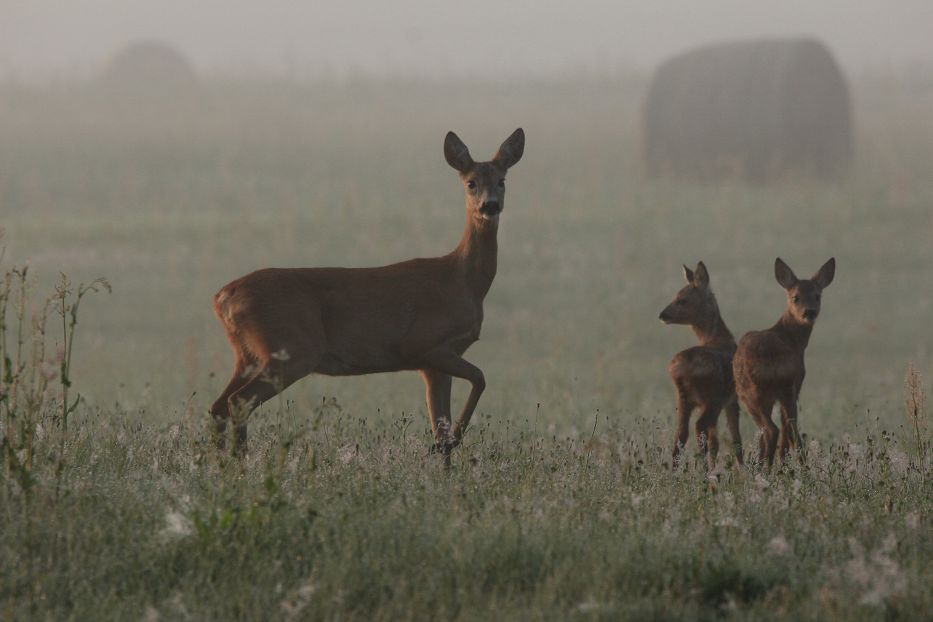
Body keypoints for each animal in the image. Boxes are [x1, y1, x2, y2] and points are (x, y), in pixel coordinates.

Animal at [209, 129, 524, 456]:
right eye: (471, 182)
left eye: (502, 180)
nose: (490, 205)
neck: (463, 281)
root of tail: (222, 297)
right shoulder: (425, 344)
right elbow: (480, 379)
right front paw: (457, 438)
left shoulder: (433, 364)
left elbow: (441, 428)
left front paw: (446, 449)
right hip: (292, 351)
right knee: (237, 402)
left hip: (247, 355)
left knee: (218, 407)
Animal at [664, 260, 744, 470]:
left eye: (681, 299)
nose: (662, 314)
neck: (719, 338)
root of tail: (681, 369)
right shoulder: (731, 399)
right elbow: (736, 439)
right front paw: (744, 471)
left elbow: (715, 442)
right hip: (712, 398)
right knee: (699, 427)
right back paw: (703, 470)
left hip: (684, 399)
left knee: (681, 434)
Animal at [732, 256, 832, 466]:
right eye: (795, 297)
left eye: (817, 296)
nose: (809, 312)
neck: (791, 338)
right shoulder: (795, 384)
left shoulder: (780, 393)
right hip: (774, 390)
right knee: (782, 428)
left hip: (752, 393)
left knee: (771, 429)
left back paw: (765, 465)